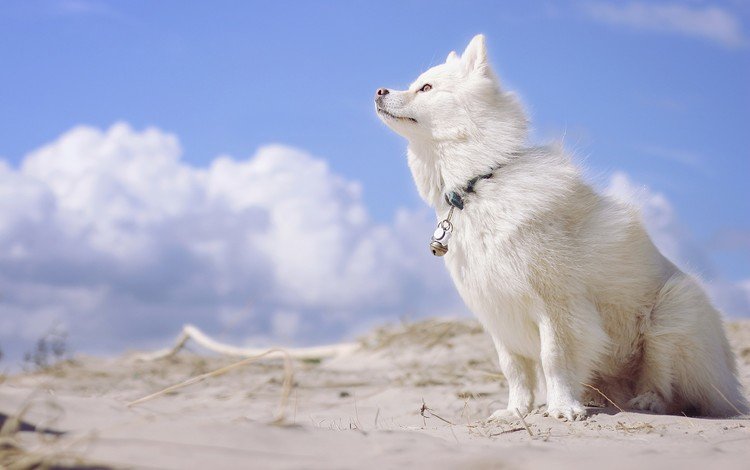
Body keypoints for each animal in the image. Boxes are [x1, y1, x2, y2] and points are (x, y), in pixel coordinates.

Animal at [378, 34, 748, 422]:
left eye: (426, 87)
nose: (379, 91)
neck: (481, 181)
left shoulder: (558, 308)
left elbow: (553, 359)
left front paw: (562, 408)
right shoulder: (498, 313)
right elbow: (515, 370)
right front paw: (516, 411)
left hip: (673, 311)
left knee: (669, 386)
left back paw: (648, 401)